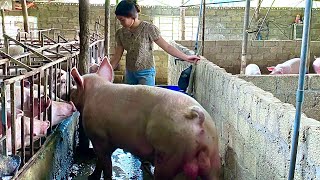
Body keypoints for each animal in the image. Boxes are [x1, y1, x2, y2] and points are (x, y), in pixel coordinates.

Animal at [70, 57, 220, 179]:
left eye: (75, 87)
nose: (69, 93)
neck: (92, 93)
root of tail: (197, 119)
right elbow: (101, 162)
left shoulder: (99, 137)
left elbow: (105, 164)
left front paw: (93, 177)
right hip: (212, 156)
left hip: (171, 153)